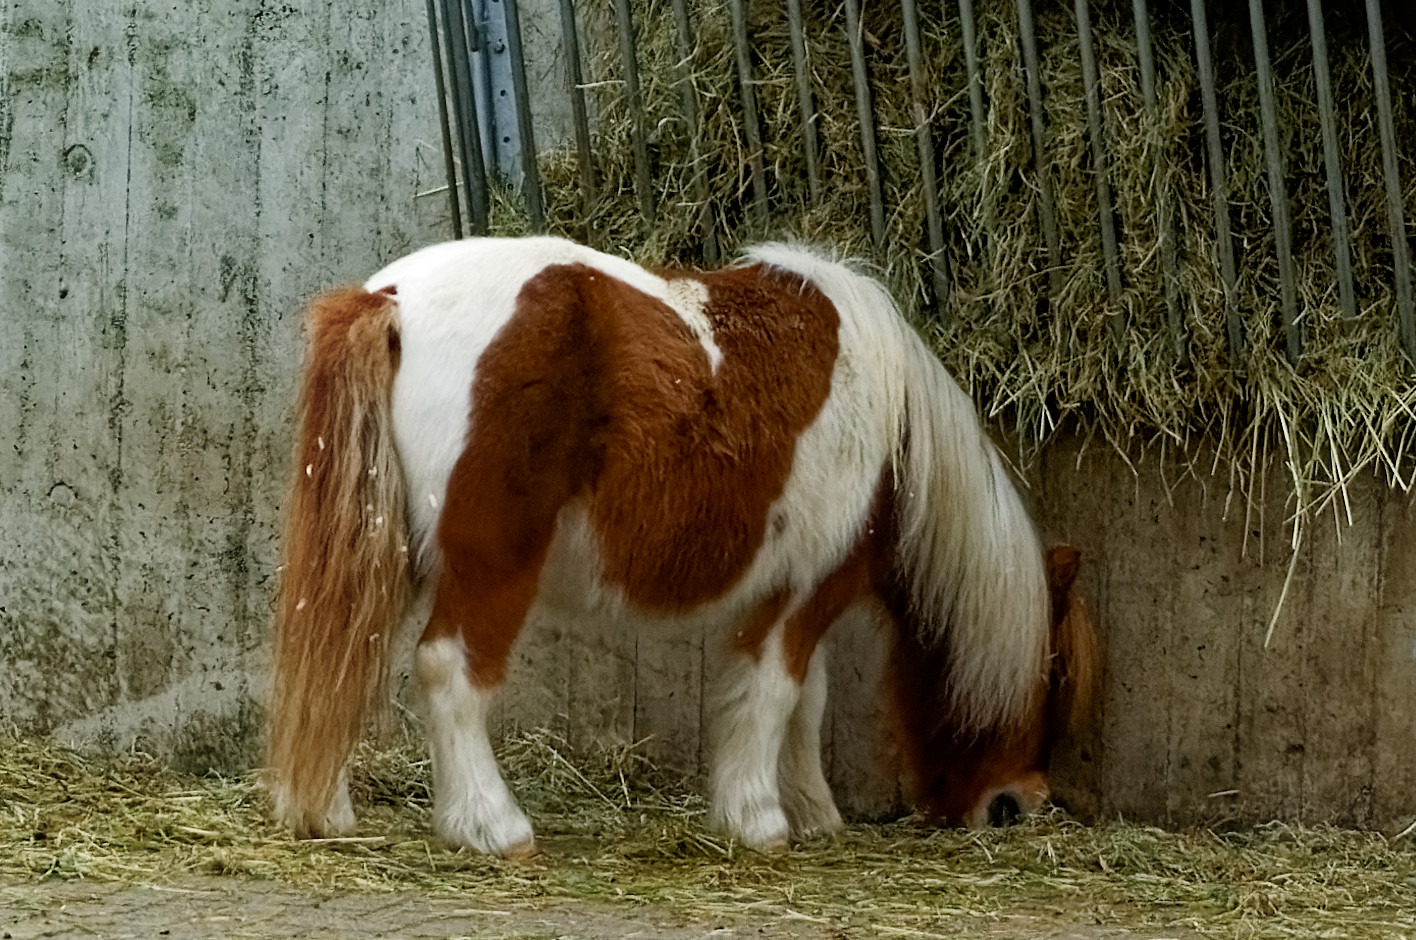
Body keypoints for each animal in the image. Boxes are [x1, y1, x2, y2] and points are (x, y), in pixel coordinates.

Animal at [266, 236, 1097, 856]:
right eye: (1052, 678)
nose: (1016, 806)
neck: (897, 434)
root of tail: (390, 300)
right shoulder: (809, 587)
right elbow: (774, 694)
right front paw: (759, 822)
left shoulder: (794, 591)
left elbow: (806, 700)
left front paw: (812, 813)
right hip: (493, 564)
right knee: (450, 669)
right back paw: (493, 829)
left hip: (387, 553)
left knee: (345, 658)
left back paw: (326, 814)